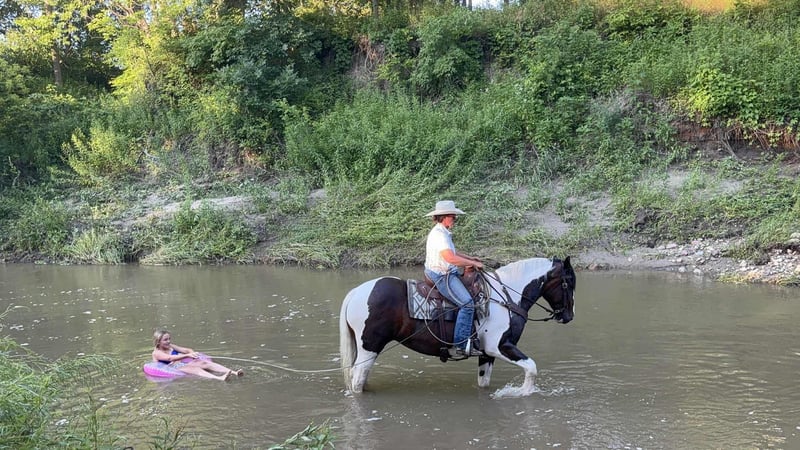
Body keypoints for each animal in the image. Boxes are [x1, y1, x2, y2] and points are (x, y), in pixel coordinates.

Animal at [339, 257, 576, 394]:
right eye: (569, 282)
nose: (568, 316)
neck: (505, 298)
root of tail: (355, 292)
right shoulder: (500, 347)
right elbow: (532, 368)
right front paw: (522, 393)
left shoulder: (486, 354)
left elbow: (484, 383)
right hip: (370, 346)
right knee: (357, 380)